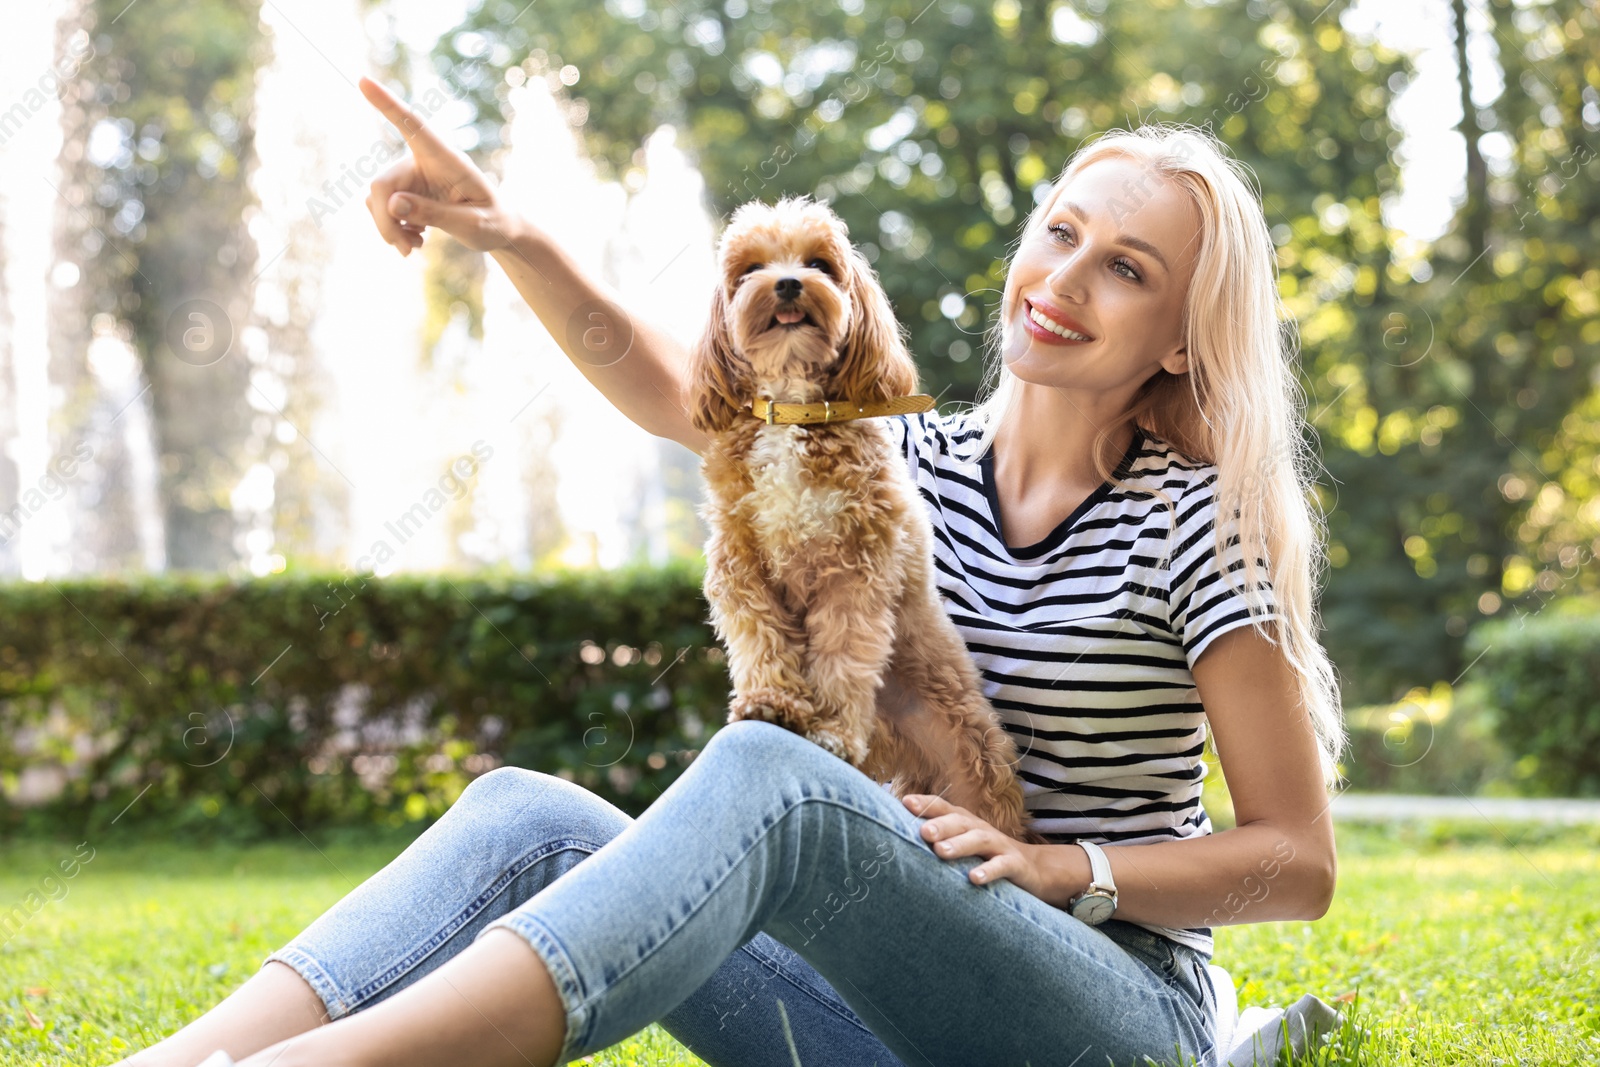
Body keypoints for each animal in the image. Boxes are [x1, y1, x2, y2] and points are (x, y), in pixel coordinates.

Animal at [684, 198, 1036, 844]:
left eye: (820, 263)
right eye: (750, 269)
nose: (788, 282)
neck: (794, 408)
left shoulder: (856, 569)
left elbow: (844, 658)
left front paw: (830, 733)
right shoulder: (740, 564)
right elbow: (761, 639)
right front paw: (773, 703)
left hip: (969, 752)